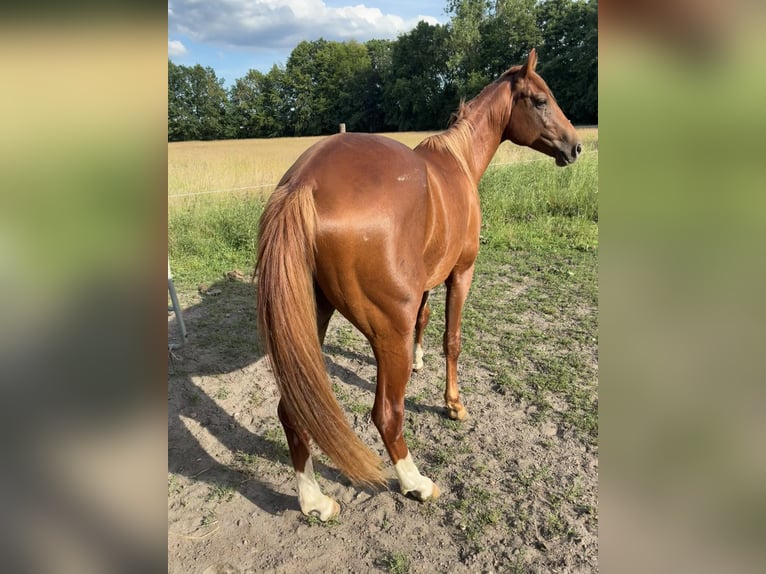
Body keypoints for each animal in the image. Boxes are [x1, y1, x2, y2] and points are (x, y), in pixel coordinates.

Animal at [256, 49, 582, 521]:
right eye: (540, 100)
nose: (576, 146)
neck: (458, 162)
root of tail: (305, 183)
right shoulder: (461, 273)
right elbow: (453, 340)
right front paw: (454, 403)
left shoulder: (428, 278)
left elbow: (425, 320)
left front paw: (420, 361)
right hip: (387, 331)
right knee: (387, 413)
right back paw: (416, 483)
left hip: (311, 319)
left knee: (293, 410)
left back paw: (313, 500)